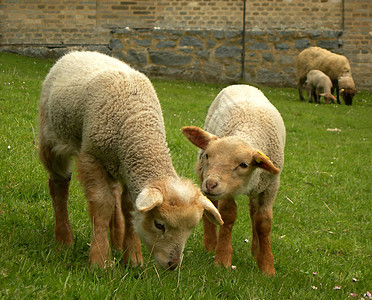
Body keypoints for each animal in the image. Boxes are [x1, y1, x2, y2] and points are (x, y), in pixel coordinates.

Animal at [39, 50, 222, 270]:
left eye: (191, 229)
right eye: (159, 224)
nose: (172, 265)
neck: (137, 123)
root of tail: (81, 51)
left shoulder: (128, 169)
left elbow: (128, 208)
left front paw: (133, 259)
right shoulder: (92, 158)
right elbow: (102, 206)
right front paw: (100, 260)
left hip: (114, 164)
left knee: (113, 193)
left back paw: (117, 240)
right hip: (52, 137)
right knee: (59, 184)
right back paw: (64, 238)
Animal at [182, 85, 286, 276]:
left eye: (243, 164)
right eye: (208, 155)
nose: (210, 184)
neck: (248, 129)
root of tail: (243, 85)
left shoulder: (271, 185)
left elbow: (263, 222)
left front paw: (266, 266)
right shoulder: (226, 189)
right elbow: (228, 215)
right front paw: (222, 259)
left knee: (253, 211)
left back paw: (255, 249)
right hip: (204, 173)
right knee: (211, 204)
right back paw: (210, 243)